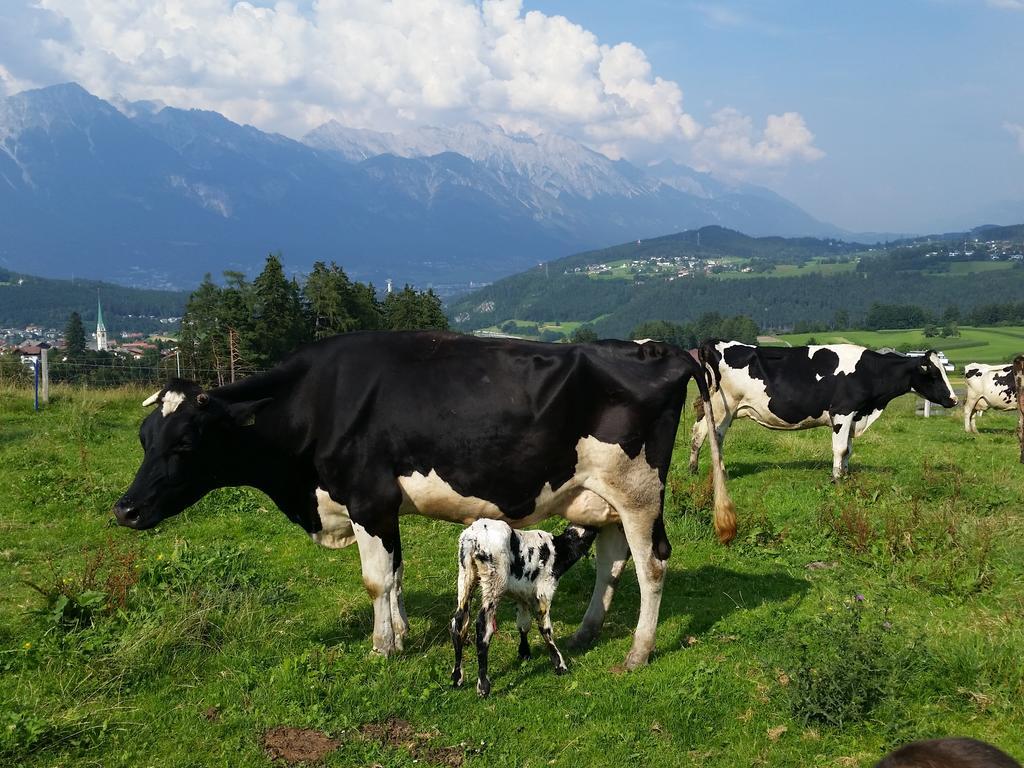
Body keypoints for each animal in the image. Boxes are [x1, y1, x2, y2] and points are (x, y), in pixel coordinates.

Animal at [114, 333, 737, 671]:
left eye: (186, 442)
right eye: (144, 437)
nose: (125, 510)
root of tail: (660, 349)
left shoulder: (365, 498)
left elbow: (374, 579)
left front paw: (381, 647)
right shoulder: (382, 507)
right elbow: (395, 573)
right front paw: (404, 631)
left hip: (639, 493)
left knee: (652, 565)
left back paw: (638, 652)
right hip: (601, 497)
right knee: (612, 559)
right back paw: (586, 633)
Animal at [450, 524, 598, 696]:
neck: (558, 550)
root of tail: (473, 537)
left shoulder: (521, 596)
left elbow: (523, 624)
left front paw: (524, 652)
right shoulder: (544, 592)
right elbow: (545, 628)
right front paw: (559, 664)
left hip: (466, 576)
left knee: (459, 623)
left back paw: (457, 677)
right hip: (494, 581)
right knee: (483, 626)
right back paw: (483, 686)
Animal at [688, 342, 958, 481]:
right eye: (934, 374)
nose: (954, 399)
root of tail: (714, 343)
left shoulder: (855, 415)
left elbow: (849, 449)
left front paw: (845, 475)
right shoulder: (843, 411)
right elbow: (840, 448)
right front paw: (836, 479)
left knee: (703, 433)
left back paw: (705, 469)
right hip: (723, 407)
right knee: (708, 435)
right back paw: (710, 472)